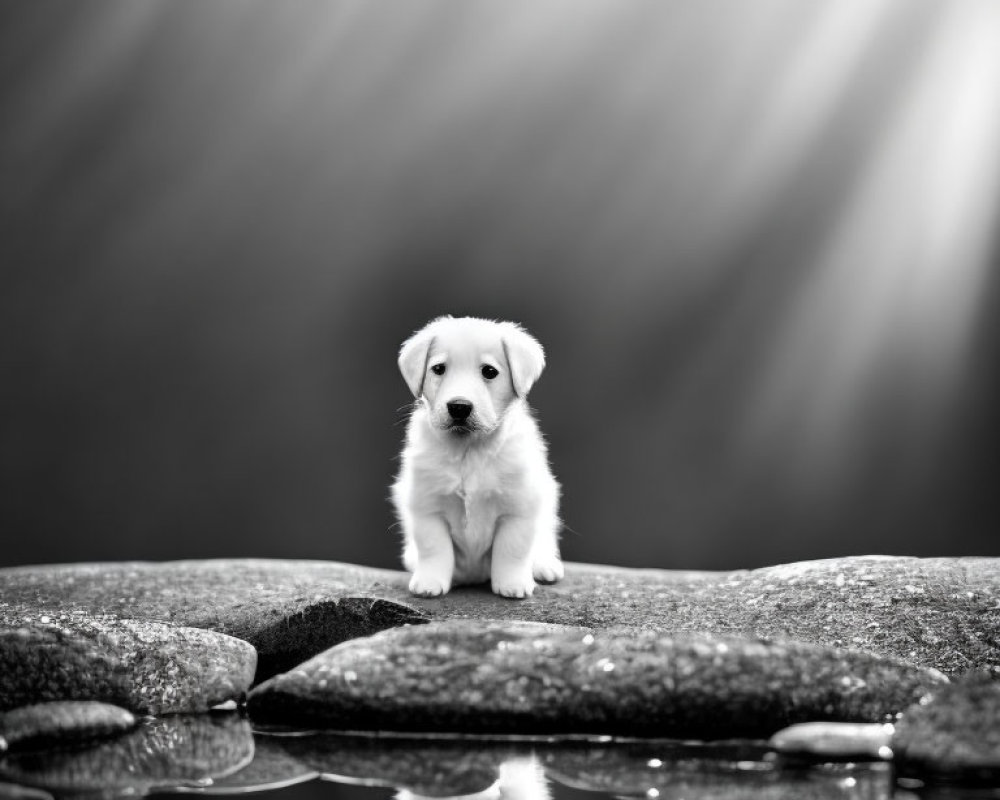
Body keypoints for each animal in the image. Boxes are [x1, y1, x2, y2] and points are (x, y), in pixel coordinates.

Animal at [390, 316, 564, 596]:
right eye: (438, 368)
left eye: (489, 371)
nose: (459, 407)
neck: (468, 451)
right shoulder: (427, 507)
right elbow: (433, 547)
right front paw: (430, 582)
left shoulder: (518, 507)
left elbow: (512, 548)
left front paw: (512, 584)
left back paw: (544, 566)